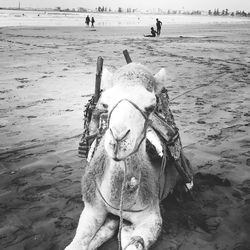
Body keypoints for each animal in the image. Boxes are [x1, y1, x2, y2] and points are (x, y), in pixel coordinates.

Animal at [65, 63, 188, 250]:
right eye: (105, 103)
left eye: (150, 107)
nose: (118, 139)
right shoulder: (92, 208)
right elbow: (77, 244)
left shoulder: (151, 217)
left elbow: (135, 242)